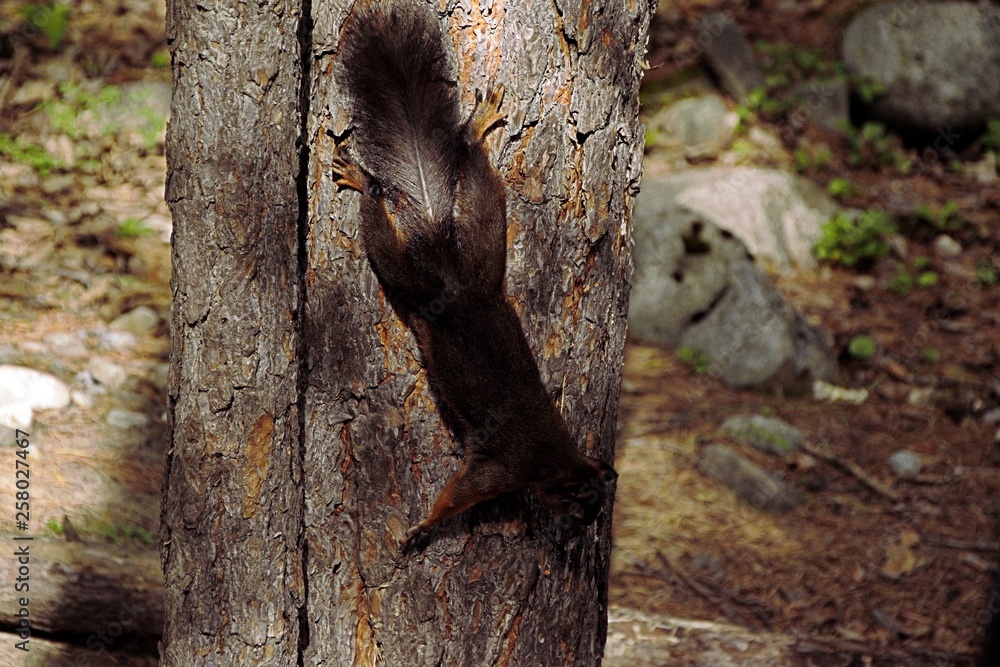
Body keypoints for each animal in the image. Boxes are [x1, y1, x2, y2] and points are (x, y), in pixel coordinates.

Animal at [331, 1, 617, 548]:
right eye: (580, 509)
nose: (578, 534)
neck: (553, 459)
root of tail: (453, 274)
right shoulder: (500, 469)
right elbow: (457, 496)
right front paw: (422, 528)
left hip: (486, 246)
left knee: (474, 169)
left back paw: (478, 126)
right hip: (414, 283)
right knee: (382, 230)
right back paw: (361, 181)